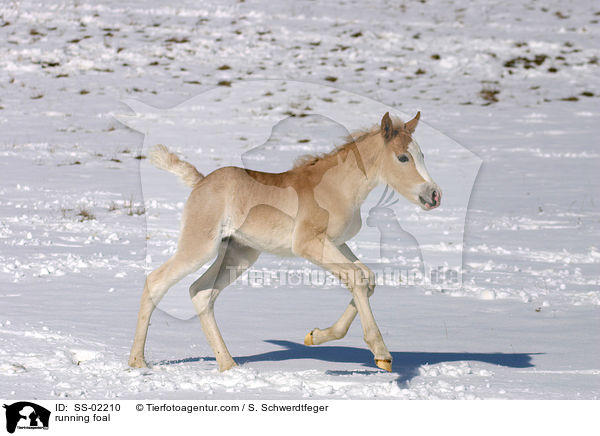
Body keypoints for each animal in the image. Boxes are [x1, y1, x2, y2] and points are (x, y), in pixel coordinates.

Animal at [130, 111, 440, 372]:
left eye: (422, 154)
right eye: (402, 158)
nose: (434, 195)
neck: (337, 187)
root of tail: (200, 182)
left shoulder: (338, 243)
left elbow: (366, 278)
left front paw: (315, 336)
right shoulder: (309, 244)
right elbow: (357, 279)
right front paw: (382, 354)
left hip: (239, 255)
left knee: (201, 293)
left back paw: (228, 365)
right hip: (200, 247)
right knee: (156, 282)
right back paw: (138, 362)